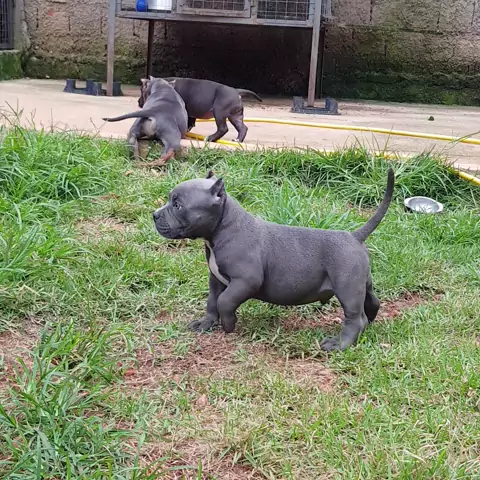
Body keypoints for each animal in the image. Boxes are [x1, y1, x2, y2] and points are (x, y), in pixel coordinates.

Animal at [153, 168, 395, 351]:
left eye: (178, 205)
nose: (154, 215)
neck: (223, 227)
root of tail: (354, 236)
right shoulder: (216, 279)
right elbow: (212, 301)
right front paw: (206, 323)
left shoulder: (245, 281)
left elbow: (224, 301)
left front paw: (229, 324)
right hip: (360, 283)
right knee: (372, 302)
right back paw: (370, 322)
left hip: (346, 289)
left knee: (355, 319)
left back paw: (339, 344)